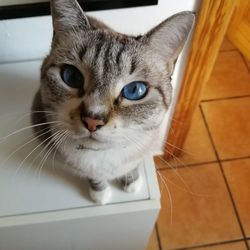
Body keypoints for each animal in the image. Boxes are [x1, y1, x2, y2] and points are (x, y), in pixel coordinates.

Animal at [30, 0, 195, 204]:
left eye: (135, 90)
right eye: (72, 77)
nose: (92, 121)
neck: (106, 157)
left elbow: (132, 167)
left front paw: (132, 184)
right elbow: (95, 177)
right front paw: (100, 194)